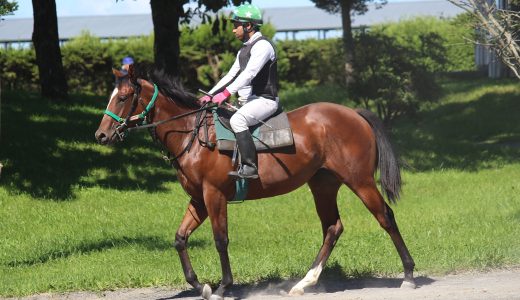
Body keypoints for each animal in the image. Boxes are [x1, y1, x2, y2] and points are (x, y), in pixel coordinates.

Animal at [95, 64, 416, 298]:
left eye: (122, 97)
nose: (101, 135)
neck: (192, 134)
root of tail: (353, 113)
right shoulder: (198, 200)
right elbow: (180, 238)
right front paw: (200, 285)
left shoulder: (214, 196)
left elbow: (220, 240)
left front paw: (223, 286)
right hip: (323, 185)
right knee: (332, 228)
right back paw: (304, 283)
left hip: (360, 182)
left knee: (385, 217)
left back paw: (409, 275)